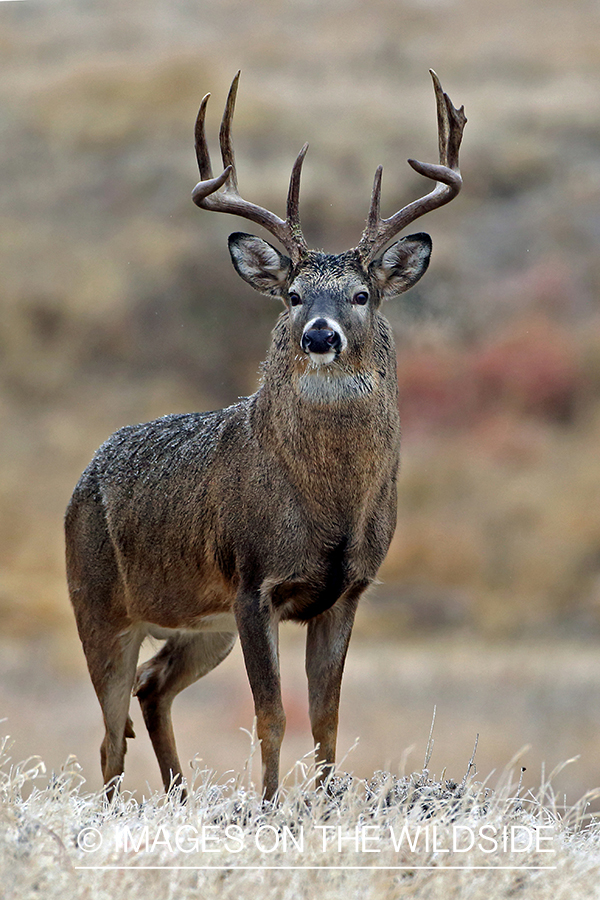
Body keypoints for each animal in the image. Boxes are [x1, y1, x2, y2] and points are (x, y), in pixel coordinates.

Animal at [67, 70, 468, 800]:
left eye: (362, 295)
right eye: (292, 295)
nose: (320, 335)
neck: (328, 505)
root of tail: (83, 480)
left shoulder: (346, 591)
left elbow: (327, 718)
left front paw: (327, 806)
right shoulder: (254, 583)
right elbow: (272, 714)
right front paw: (271, 806)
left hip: (203, 624)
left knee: (152, 688)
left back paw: (179, 796)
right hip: (99, 603)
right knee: (110, 734)